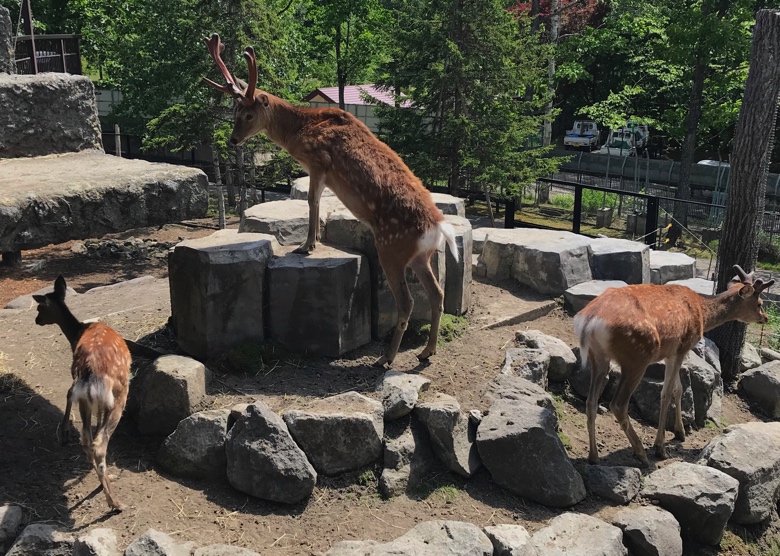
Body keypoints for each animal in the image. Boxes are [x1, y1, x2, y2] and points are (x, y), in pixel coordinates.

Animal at [34, 276, 129, 510]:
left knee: (87, 439)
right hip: (120, 396)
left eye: (40, 307)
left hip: (87, 397)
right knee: (99, 444)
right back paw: (115, 502)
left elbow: (71, 395)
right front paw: (64, 431)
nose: (36, 320)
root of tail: (91, 370)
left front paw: (65, 432)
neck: (77, 333)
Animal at [200, 32, 458, 368]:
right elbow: (316, 203)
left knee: (408, 301)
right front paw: (311, 242)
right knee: (437, 295)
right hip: (420, 256)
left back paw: (385, 358)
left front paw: (306, 246)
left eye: (248, 114)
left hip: (391, 247)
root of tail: (438, 228)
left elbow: (312, 202)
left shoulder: (318, 160)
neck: (299, 131)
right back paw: (428, 351)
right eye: (232, 113)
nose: (233, 140)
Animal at [572, 264, 772, 464]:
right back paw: (641, 453)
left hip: (599, 357)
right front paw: (660, 447)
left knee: (591, 401)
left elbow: (679, 388)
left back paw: (593, 456)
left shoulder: (670, 353)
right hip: (637, 357)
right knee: (618, 404)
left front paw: (680, 432)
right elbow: (667, 393)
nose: (765, 318)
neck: (702, 313)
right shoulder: (683, 347)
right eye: (760, 303)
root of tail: (589, 322)